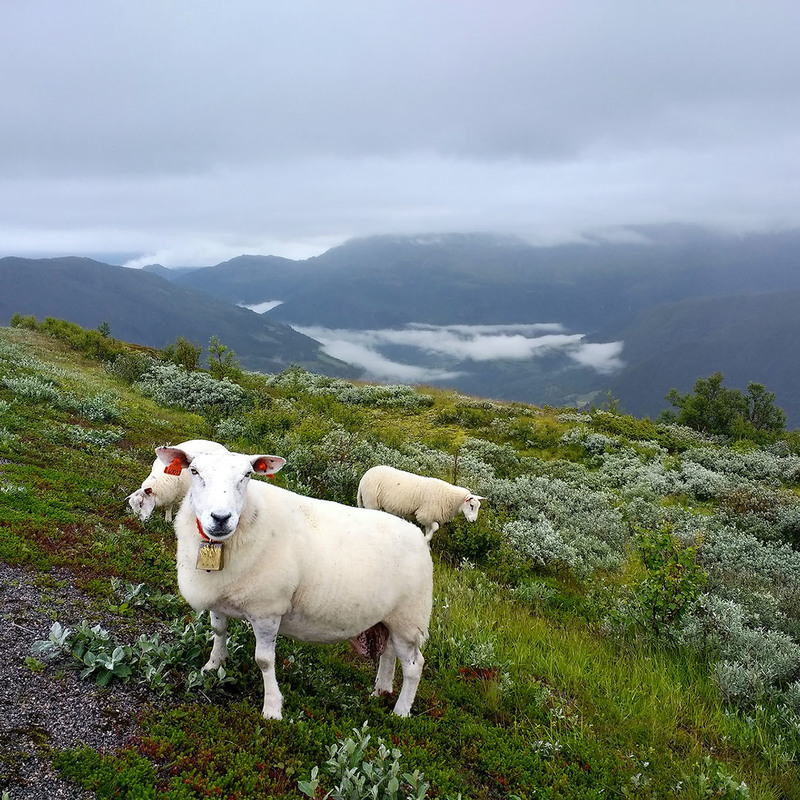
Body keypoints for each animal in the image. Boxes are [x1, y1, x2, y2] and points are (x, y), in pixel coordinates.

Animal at [154, 446, 434, 720]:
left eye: (247, 475)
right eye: (194, 471)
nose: (221, 518)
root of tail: (420, 537)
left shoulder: (267, 610)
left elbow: (264, 660)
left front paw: (272, 708)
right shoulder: (219, 595)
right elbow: (218, 631)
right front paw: (214, 665)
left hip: (410, 619)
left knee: (414, 665)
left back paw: (400, 712)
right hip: (389, 618)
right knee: (389, 653)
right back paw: (380, 691)